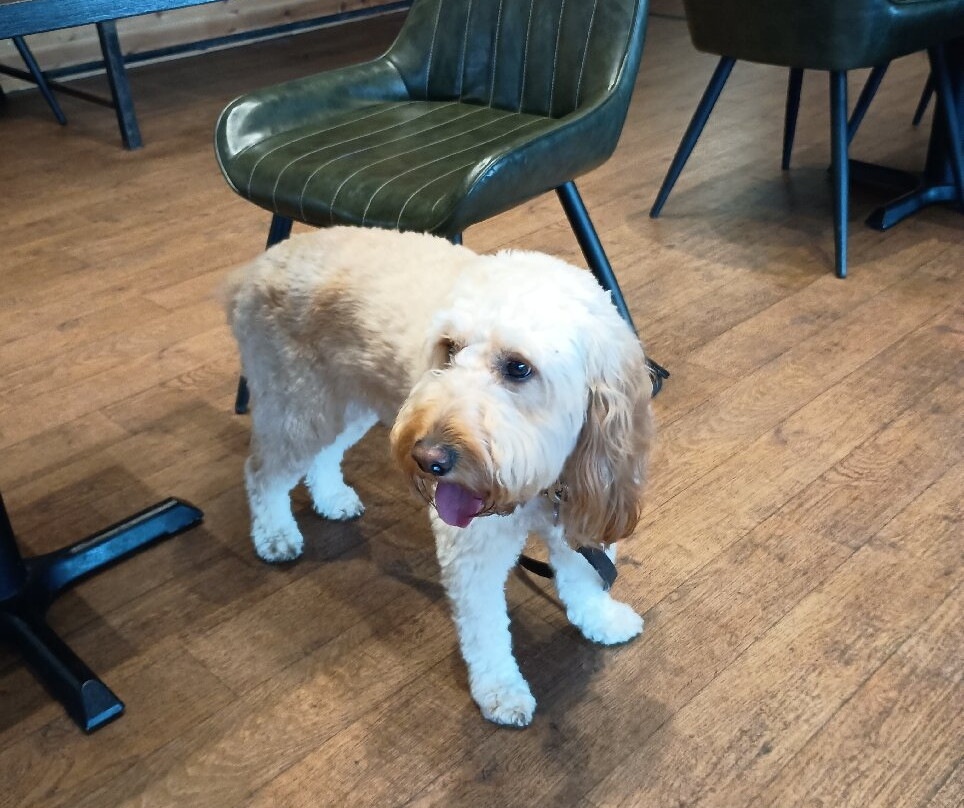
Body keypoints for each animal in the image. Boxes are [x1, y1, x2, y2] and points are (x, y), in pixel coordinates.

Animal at [224, 226, 654, 726]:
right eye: (448, 348)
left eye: (519, 367)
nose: (427, 457)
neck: (541, 488)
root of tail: (255, 268)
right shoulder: (473, 548)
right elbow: (487, 630)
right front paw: (501, 689)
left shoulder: (585, 509)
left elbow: (584, 581)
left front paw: (601, 620)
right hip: (299, 404)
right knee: (262, 473)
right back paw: (275, 534)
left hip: (346, 402)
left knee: (323, 457)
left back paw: (331, 498)